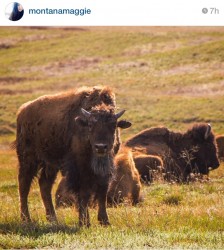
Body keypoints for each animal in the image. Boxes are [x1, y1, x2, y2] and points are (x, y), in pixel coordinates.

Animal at [14, 86, 131, 227]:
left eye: (113, 125)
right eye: (90, 125)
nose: (100, 147)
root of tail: (22, 111)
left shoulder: (106, 169)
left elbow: (102, 191)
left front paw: (105, 221)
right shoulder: (79, 168)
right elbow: (83, 193)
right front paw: (84, 222)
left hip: (50, 165)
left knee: (44, 185)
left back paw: (53, 219)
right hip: (28, 159)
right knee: (24, 185)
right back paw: (26, 219)